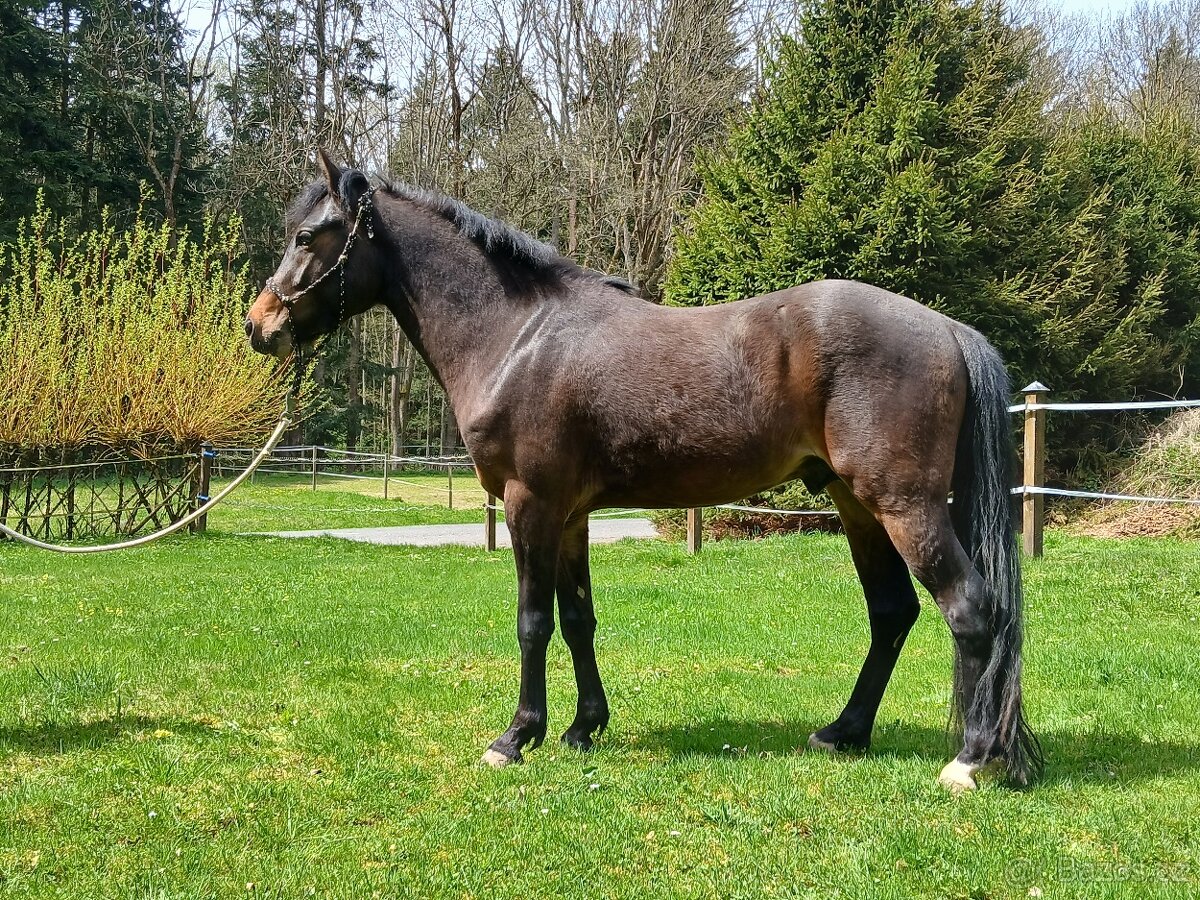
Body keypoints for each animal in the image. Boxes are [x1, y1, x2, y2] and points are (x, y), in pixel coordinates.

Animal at [246, 152, 1043, 791]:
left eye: (307, 235)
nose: (260, 325)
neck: (517, 336)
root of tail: (946, 328)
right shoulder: (569, 514)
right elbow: (578, 619)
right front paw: (581, 728)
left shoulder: (530, 505)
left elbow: (533, 621)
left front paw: (517, 737)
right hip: (856, 506)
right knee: (893, 613)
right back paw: (844, 733)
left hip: (905, 505)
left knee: (970, 609)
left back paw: (969, 760)